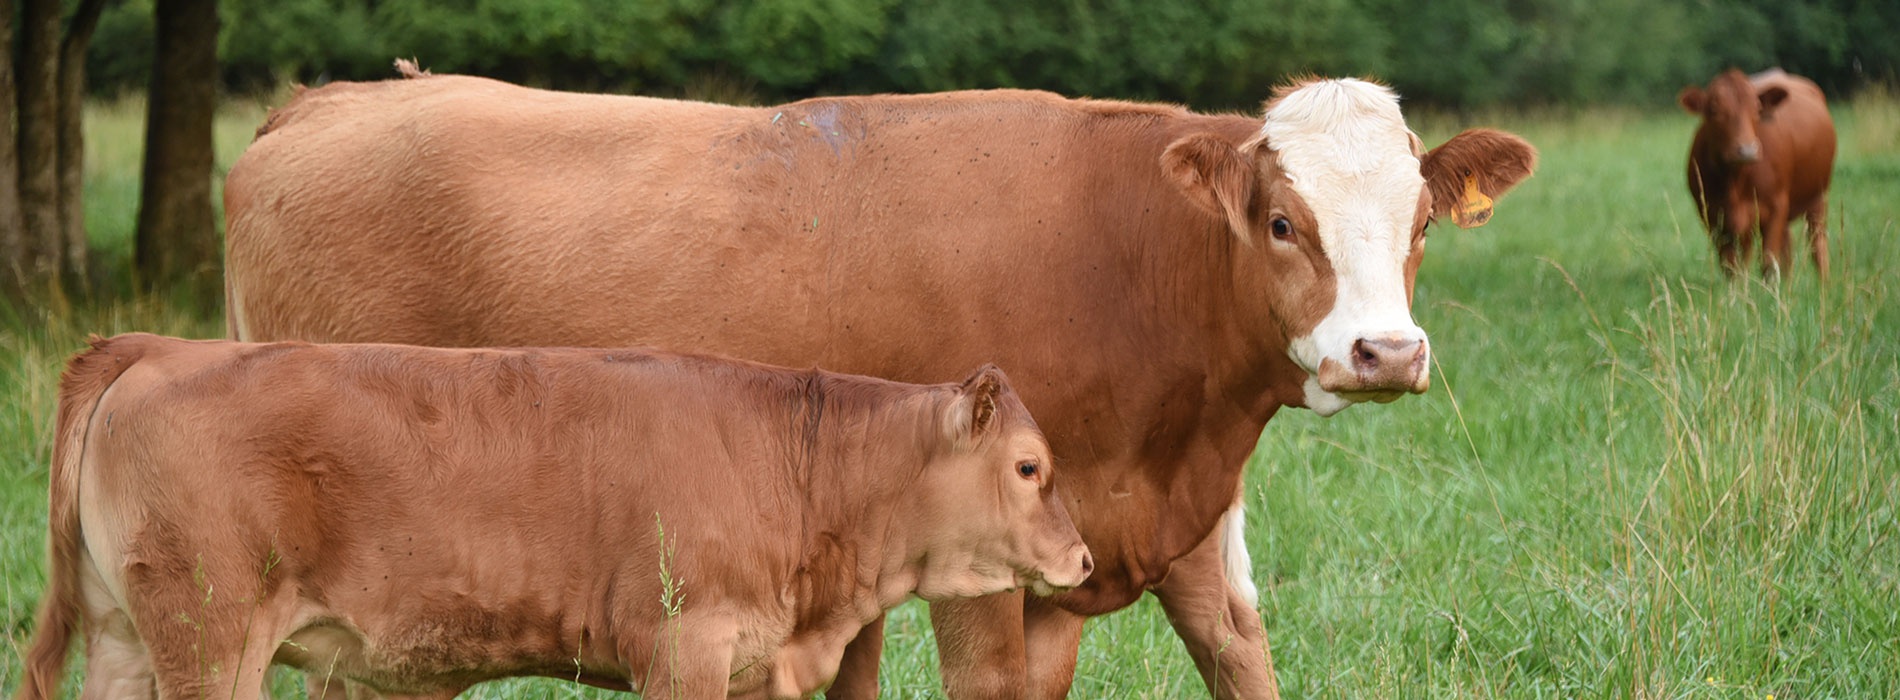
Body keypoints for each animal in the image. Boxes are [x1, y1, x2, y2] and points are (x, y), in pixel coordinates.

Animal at [14, 334, 1094, 700]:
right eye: (1031, 466)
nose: (1084, 560)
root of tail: (151, 346)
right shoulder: (684, 648)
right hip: (210, 635)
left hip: (124, 635)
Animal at [1687, 68, 1831, 279]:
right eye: (1713, 110)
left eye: (1756, 108)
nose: (1747, 150)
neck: (1734, 182)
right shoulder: (1714, 219)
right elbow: (1732, 268)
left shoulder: (1775, 208)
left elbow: (1769, 265)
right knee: (1785, 252)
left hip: (1817, 198)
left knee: (1818, 246)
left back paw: (1824, 284)